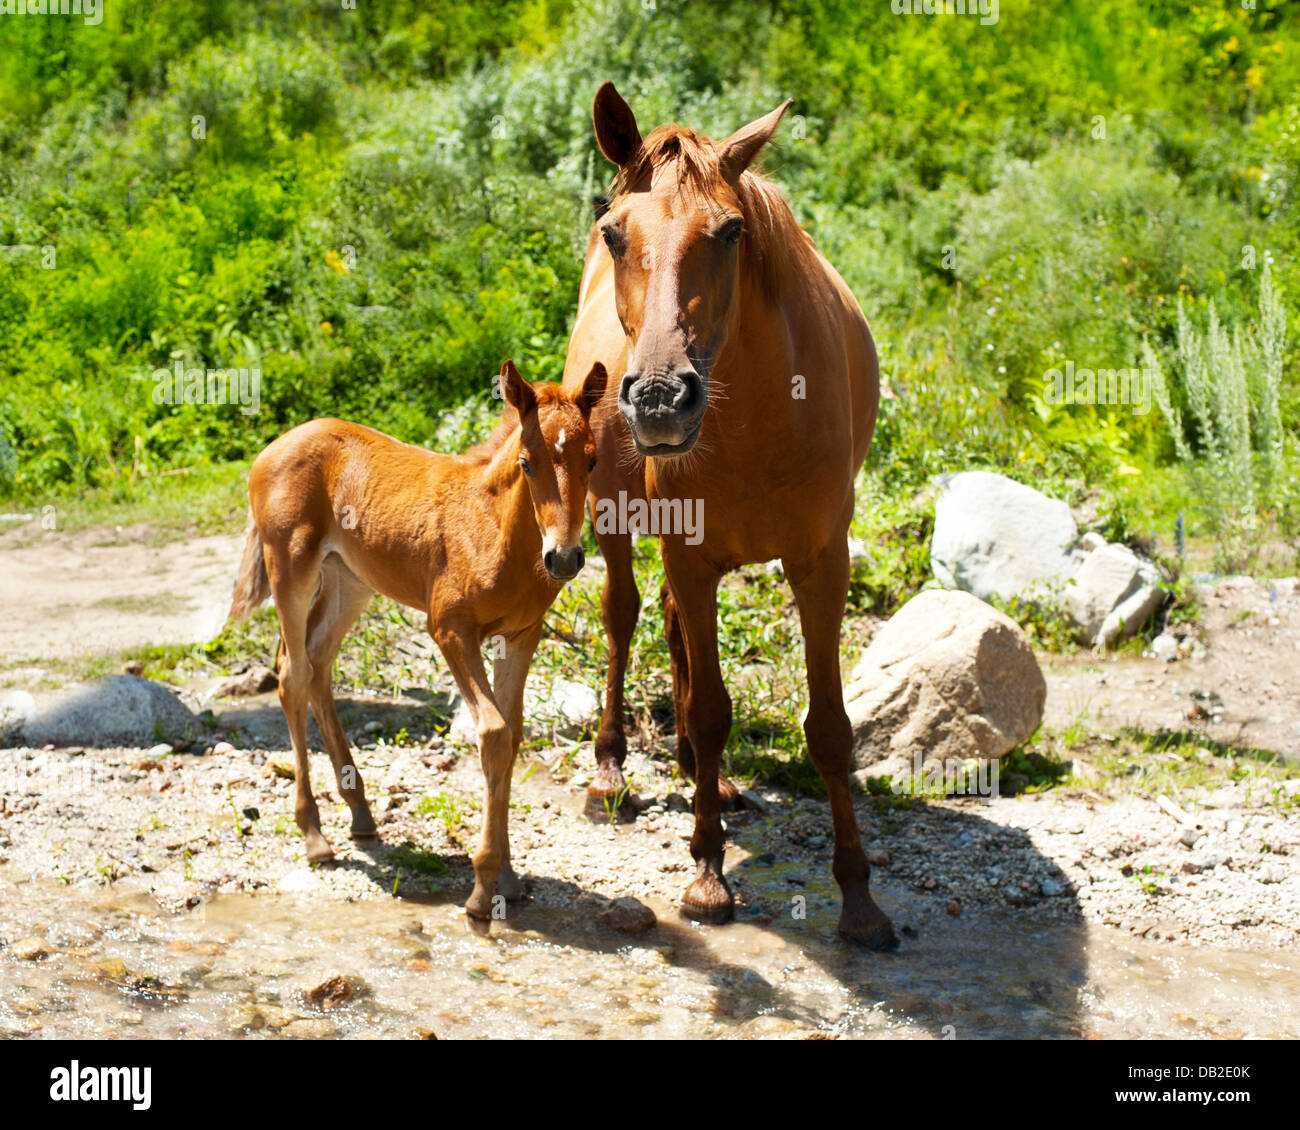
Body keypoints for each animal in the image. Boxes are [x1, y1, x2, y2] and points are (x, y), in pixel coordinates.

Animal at [227, 359, 607, 923]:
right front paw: (483, 888)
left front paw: (509, 879)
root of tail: (273, 446)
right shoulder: (450, 629)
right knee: (293, 674)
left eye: (592, 459)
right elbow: (493, 733)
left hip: (351, 580)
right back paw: (314, 834)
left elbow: (513, 735)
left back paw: (360, 812)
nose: (563, 558)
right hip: (289, 567)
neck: (495, 531)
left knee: (318, 662)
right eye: (527, 462)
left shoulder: (521, 635)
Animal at [561, 83, 895, 948]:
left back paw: (700, 774)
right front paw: (708, 875)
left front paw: (860, 898)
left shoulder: (820, 562)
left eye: (731, 231)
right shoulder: (690, 554)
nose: (657, 398)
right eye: (614, 232)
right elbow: (714, 711)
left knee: (674, 628)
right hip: (615, 520)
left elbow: (830, 728)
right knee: (623, 616)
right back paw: (611, 768)